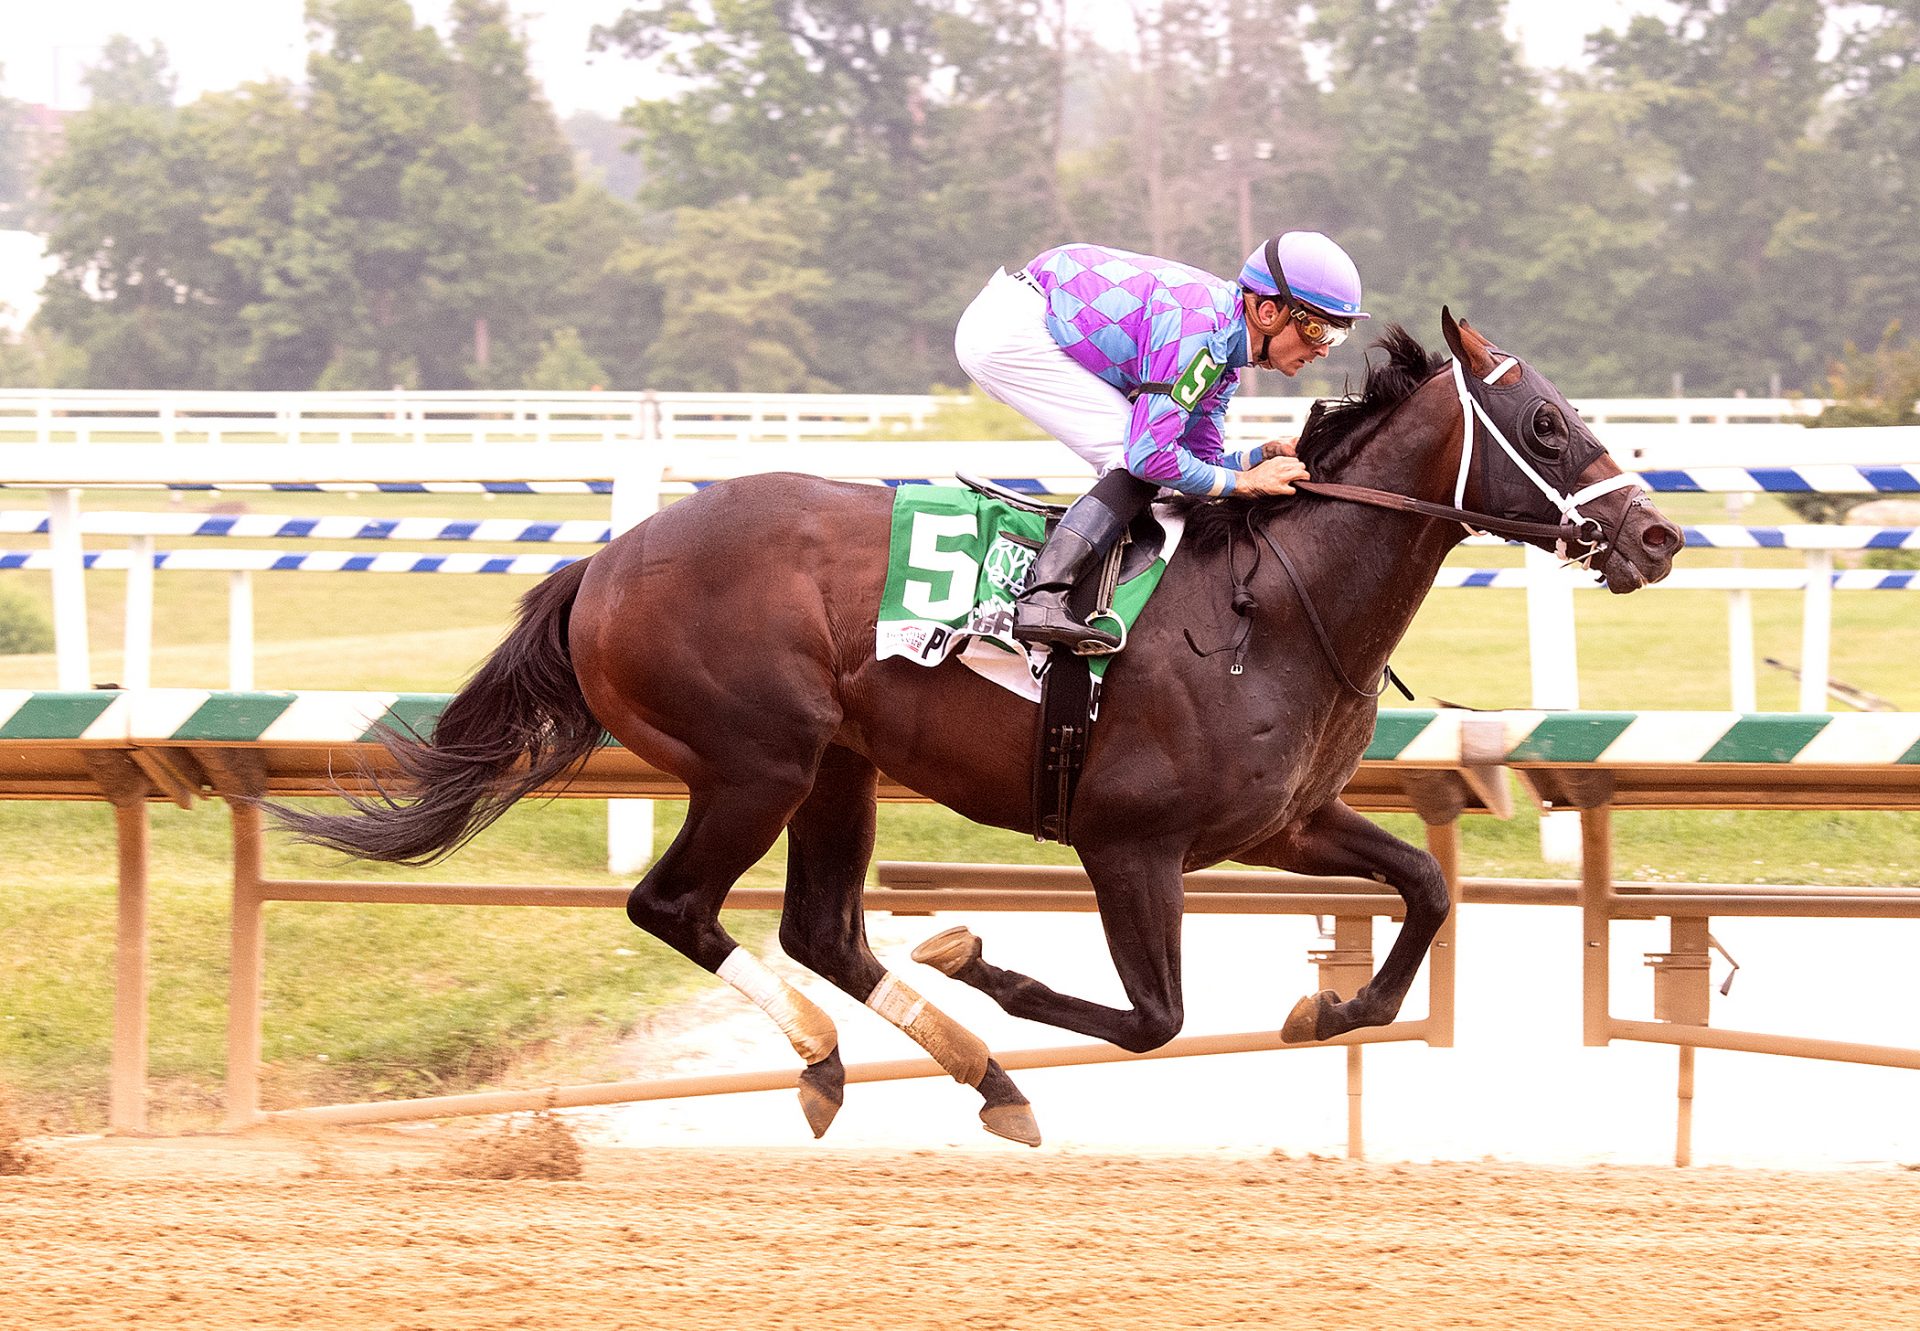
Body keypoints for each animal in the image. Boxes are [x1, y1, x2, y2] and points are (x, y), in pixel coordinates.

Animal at [278, 309, 1689, 1144]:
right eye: (1549, 421)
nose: (1660, 535)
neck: (1277, 601)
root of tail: (607, 561)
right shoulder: (1130, 843)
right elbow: (1154, 1016)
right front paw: (984, 960)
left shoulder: (1281, 822)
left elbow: (1425, 889)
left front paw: (1329, 1010)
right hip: (756, 760)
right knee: (674, 906)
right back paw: (853, 1047)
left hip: (837, 767)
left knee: (822, 930)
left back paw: (970, 1069)